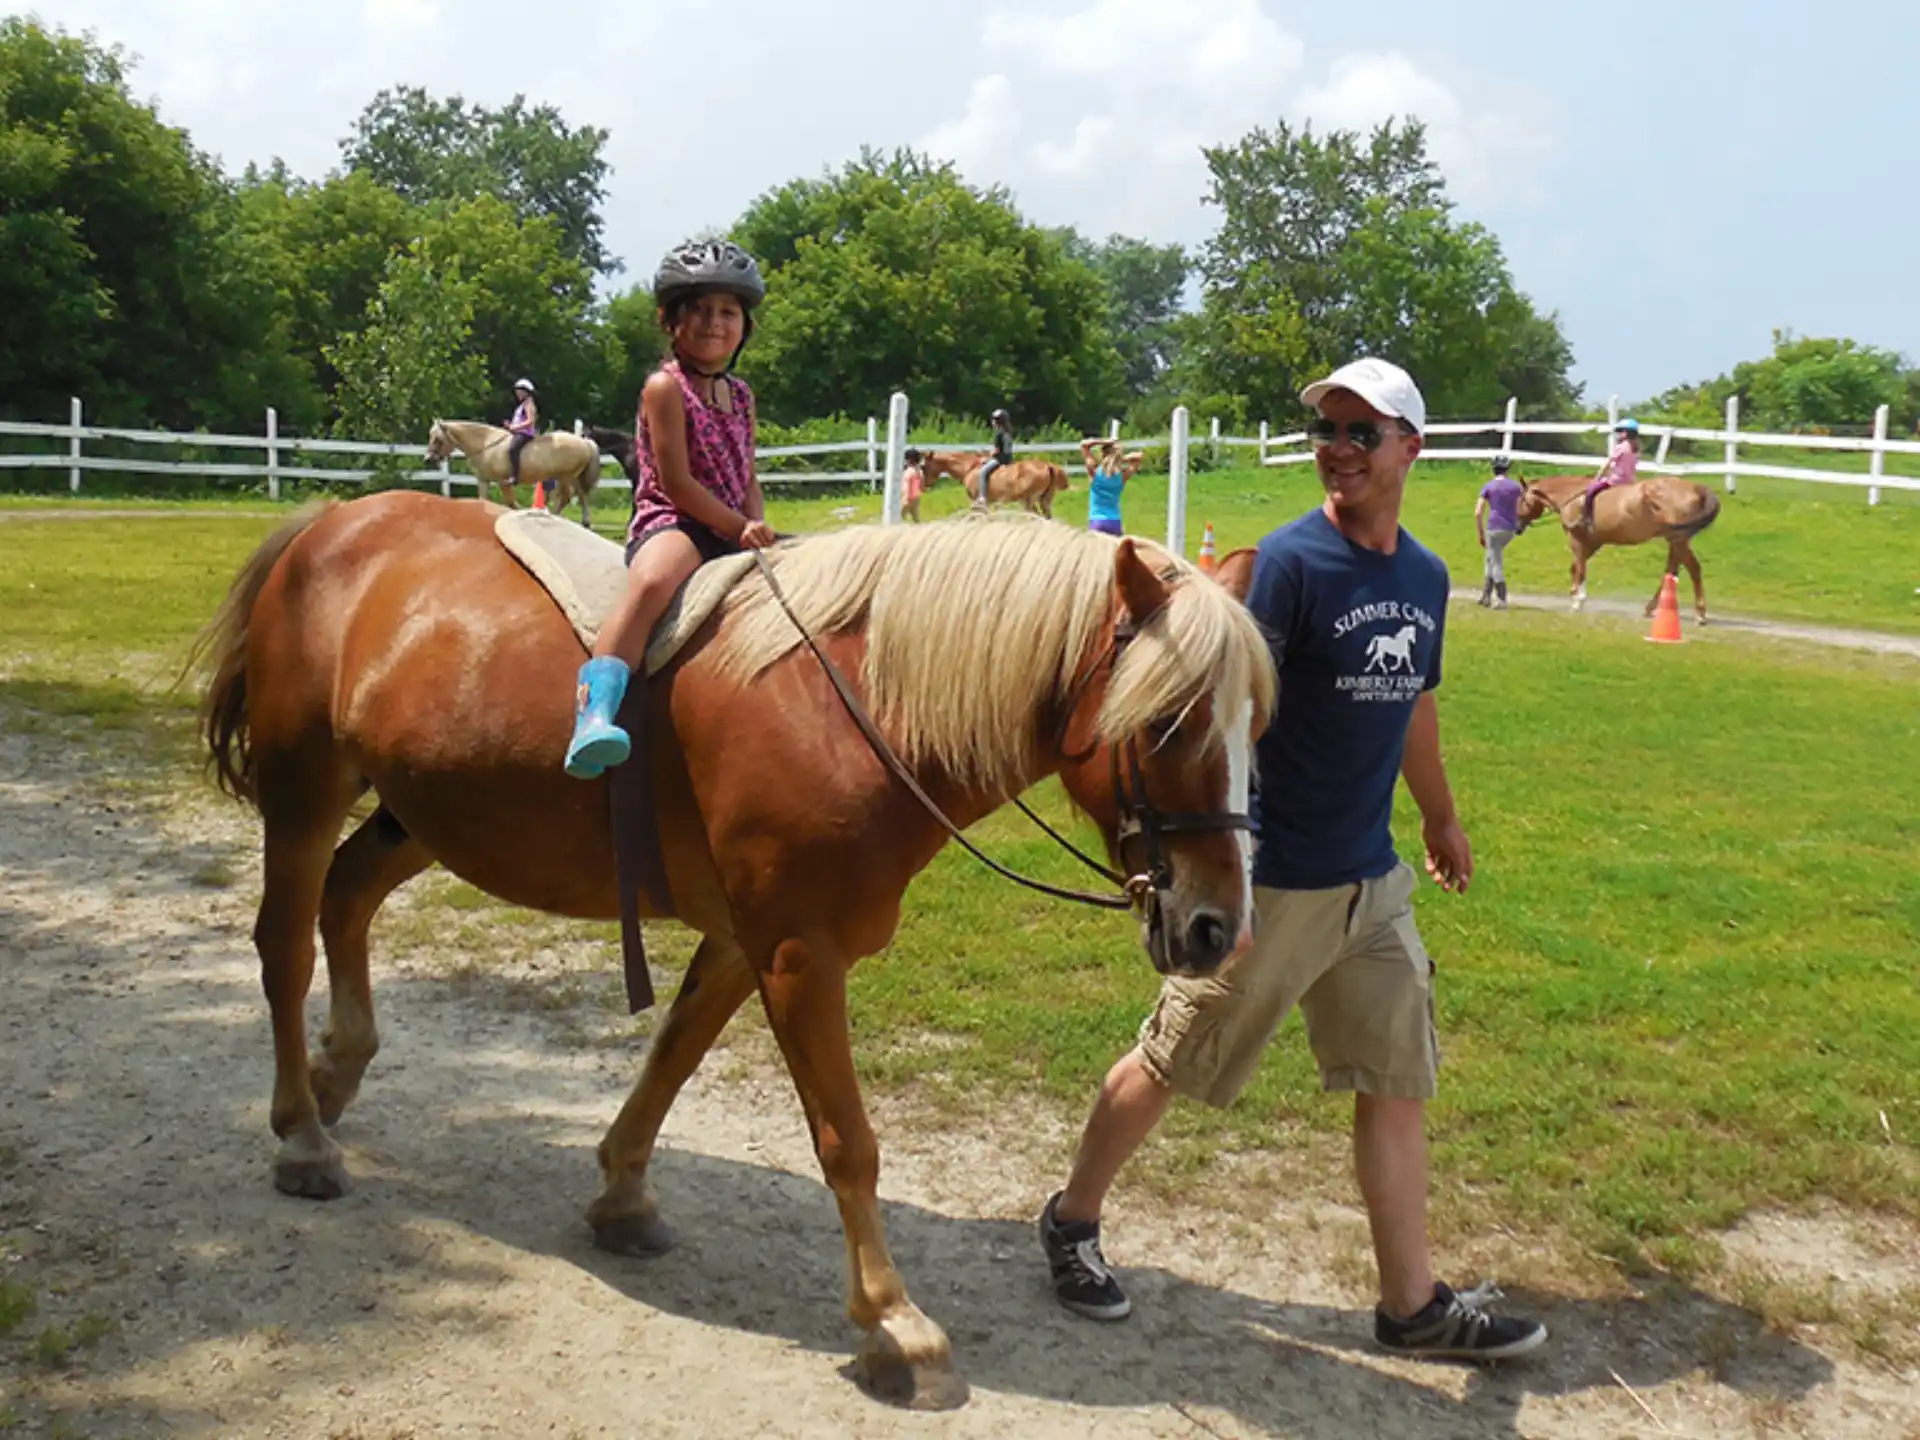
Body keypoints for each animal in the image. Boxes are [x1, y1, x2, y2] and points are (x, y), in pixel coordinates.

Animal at [190, 496, 1275, 1409]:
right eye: (1167, 721)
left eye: (1255, 724)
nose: (1220, 928)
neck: (855, 705)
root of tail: (327, 521)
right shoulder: (799, 954)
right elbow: (848, 1142)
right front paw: (895, 1323)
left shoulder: (743, 941)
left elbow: (673, 1060)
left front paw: (624, 1196)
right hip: (306, 789)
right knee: (284, 946)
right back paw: (304, 1133)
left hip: (419, 811)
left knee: (345, 900)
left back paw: (337, 1072)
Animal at [424, 419, 604, 527]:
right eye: (430, 436)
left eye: (437, 439)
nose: (428, 459)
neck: (486, 444)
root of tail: (584, 441)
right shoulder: (483, 480)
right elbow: (483, 500)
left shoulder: (503, 481)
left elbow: (511, 503)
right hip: (573, 478)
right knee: (582, 496)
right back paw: (584, 522)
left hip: (565, 477)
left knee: (567, 497)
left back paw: (555, 516)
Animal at [920, 450, 1072, 519]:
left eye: (923, 466)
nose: (923, 486)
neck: (970, 468)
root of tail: (1047, 465)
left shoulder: (977, 501)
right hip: (1043, 501)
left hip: (1028, 502)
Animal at [1514, 471, 1722, 623]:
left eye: (1521, 500)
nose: (1517, 527)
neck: (1574, 496)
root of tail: (1694, 488)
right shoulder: (1593, 543)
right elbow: (1576, 567)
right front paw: (1576, 595)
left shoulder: (1577, 540)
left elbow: (1580, 568)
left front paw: (1577, 599)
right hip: (1677, 540)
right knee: (1677, 570)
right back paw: (1660, 609)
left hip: (1677, 539)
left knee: (1687, 569)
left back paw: (1695, 613)